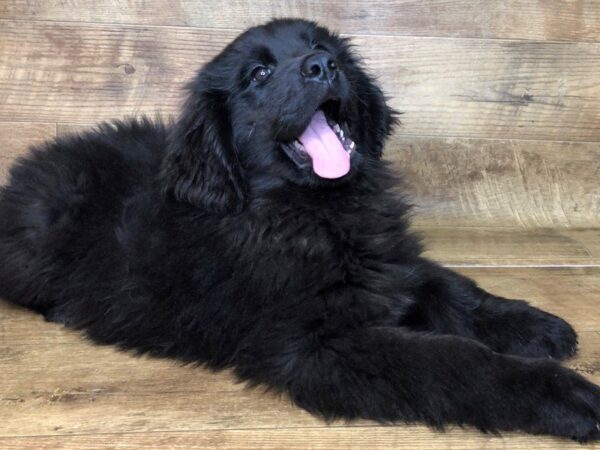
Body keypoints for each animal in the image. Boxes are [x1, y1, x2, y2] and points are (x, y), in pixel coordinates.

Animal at [1, 19, 600, 442]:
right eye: (259, 75)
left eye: (326, 48)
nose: (322, 65)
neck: (316, 213)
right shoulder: (318, 344)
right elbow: (453, 361)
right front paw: (566, 396)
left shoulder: (388, 262)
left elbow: (453, 288)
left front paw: (534, 325)